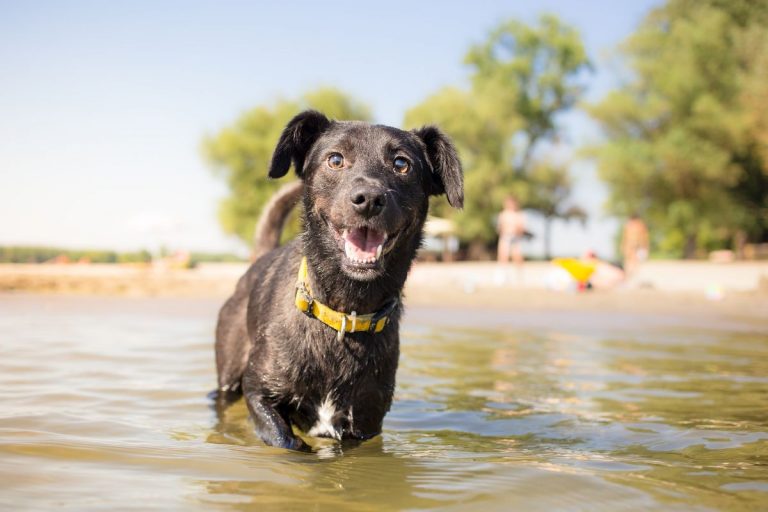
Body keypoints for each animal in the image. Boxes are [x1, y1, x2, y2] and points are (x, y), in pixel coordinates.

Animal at [213, 110, 462, 450]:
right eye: (335, 159)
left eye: (401, 164)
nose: (368, 198)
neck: (344, 312)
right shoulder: (258, 391)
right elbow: (287, 441)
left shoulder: (366, 424)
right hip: (228, 376)